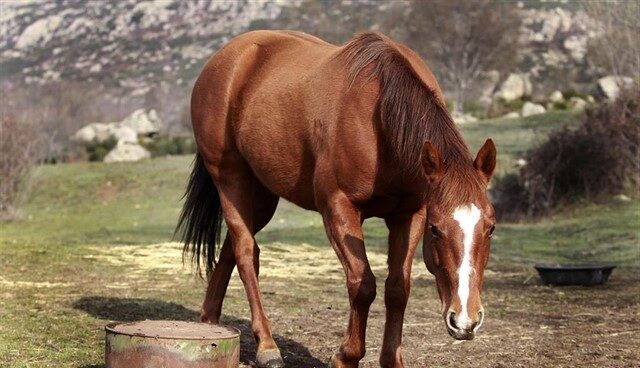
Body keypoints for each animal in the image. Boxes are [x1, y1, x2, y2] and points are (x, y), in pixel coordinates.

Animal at [178, 30, 498, 368]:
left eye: (491, 228)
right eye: (437, 230)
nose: (465, 320)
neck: (378, 118)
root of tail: (227, 58)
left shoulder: (410, 214)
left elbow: (398, 288)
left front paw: (391, 360)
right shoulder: (338, 208)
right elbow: (362, 284)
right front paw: (346, 355)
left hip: (261, 196)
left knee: (232, 248)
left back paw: (210, 323)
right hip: (231, 180)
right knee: (245, 252)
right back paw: (267, 346)